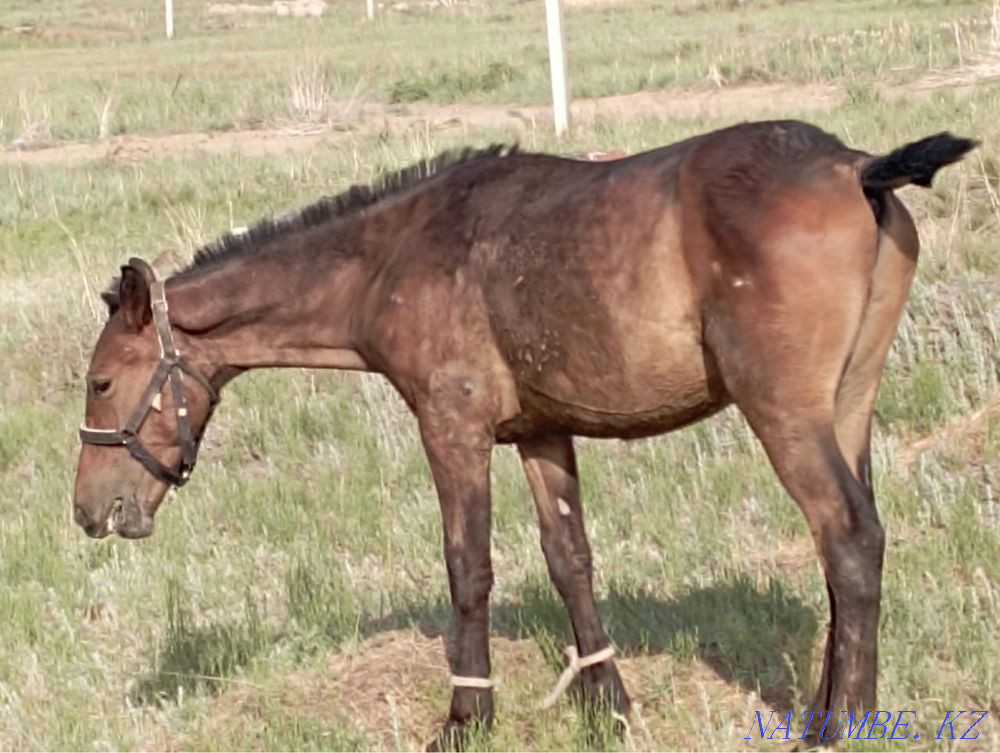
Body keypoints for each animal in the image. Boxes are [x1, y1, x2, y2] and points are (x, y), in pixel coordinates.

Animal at [73, 119, 976, 748]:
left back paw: (838, 726)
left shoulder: (453, 429)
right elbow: (570, 559)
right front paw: (607, 705)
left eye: (101, 381)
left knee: (848, 537)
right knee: (846, 547)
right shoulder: (543, 434)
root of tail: (855, 166)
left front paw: (466, 715)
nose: (88, 509)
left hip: (784, 413)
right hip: (848, 406)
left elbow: (468, 567)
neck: (394, 257)